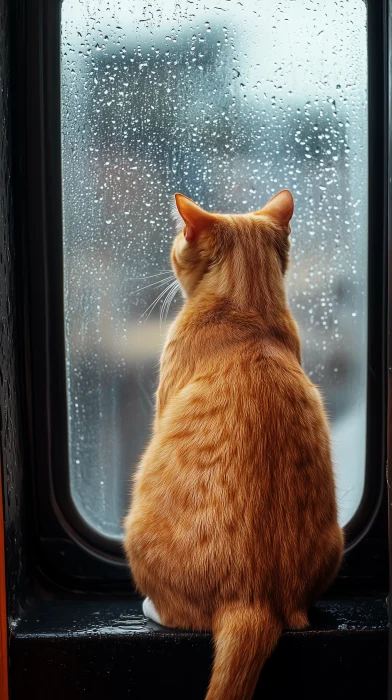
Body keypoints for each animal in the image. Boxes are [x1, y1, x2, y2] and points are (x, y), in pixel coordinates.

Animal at [124, 190, 344, 700]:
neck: (249, 311)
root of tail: (253, 602)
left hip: (134, 531)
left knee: (181, 616)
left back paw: (151, 608)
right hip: (336, 543)